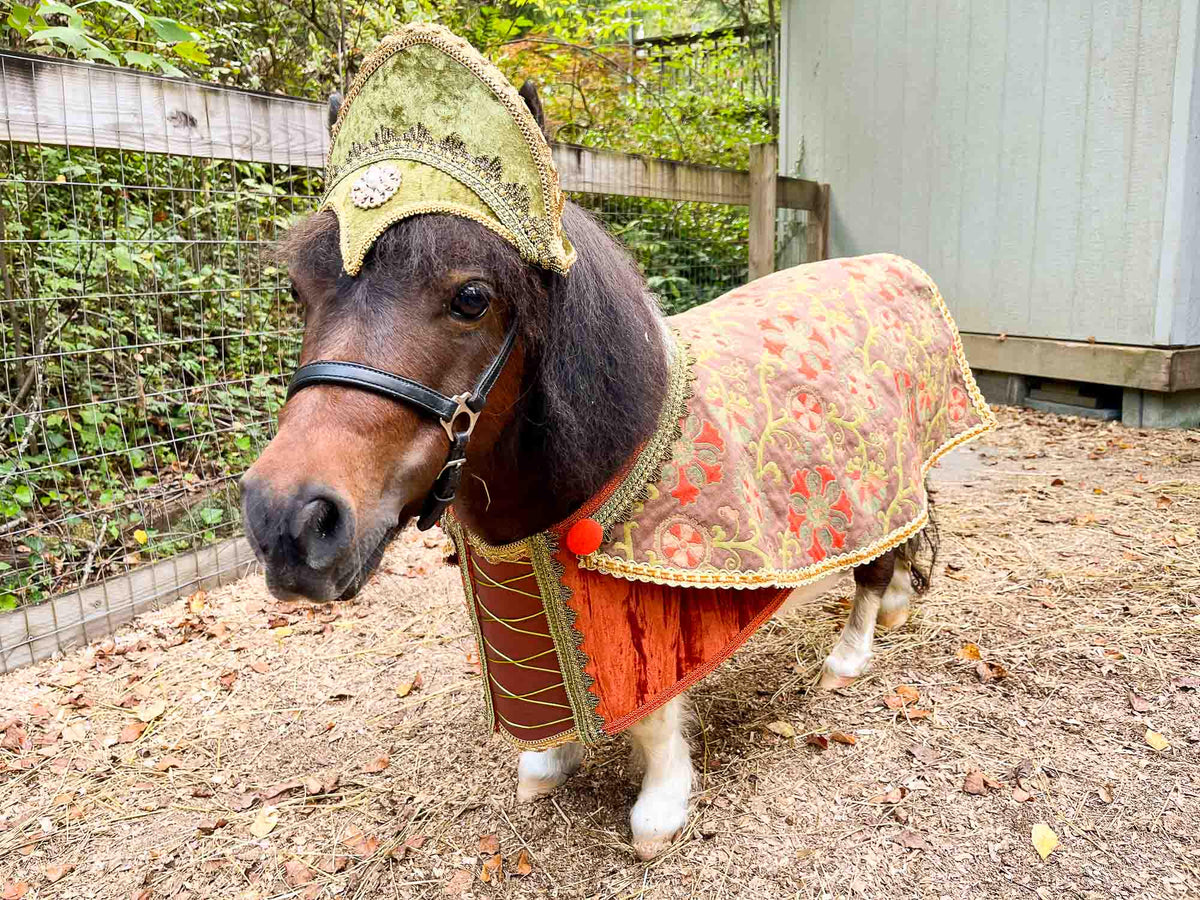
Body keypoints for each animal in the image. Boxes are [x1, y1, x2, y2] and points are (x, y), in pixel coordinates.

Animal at [241, 82, 963, 861]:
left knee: (876, 563)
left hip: (878, 480)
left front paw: (661, 806)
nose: (287, 521)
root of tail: (896, 267)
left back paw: (849, 657)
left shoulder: (652, 608)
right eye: (297, 290)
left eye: (472, 297)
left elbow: (650, 713)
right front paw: (552, 759)